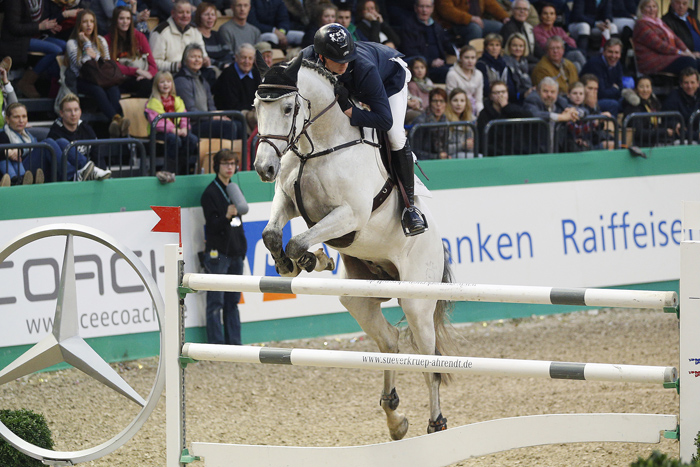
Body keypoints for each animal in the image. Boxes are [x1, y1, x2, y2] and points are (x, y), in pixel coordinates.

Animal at [253, 53, 454, 440]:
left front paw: (310, 259)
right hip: (358, 296)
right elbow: (271, 235)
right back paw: (395, 418)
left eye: (287, 108)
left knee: (430, 364)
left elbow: (298, 240)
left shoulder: (350, 215)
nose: (263, 168)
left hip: (416, 301)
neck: (317, 146)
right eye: (256, 107)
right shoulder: (287, 199)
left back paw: (436, 423)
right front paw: (292, 264)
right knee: (389, 340)